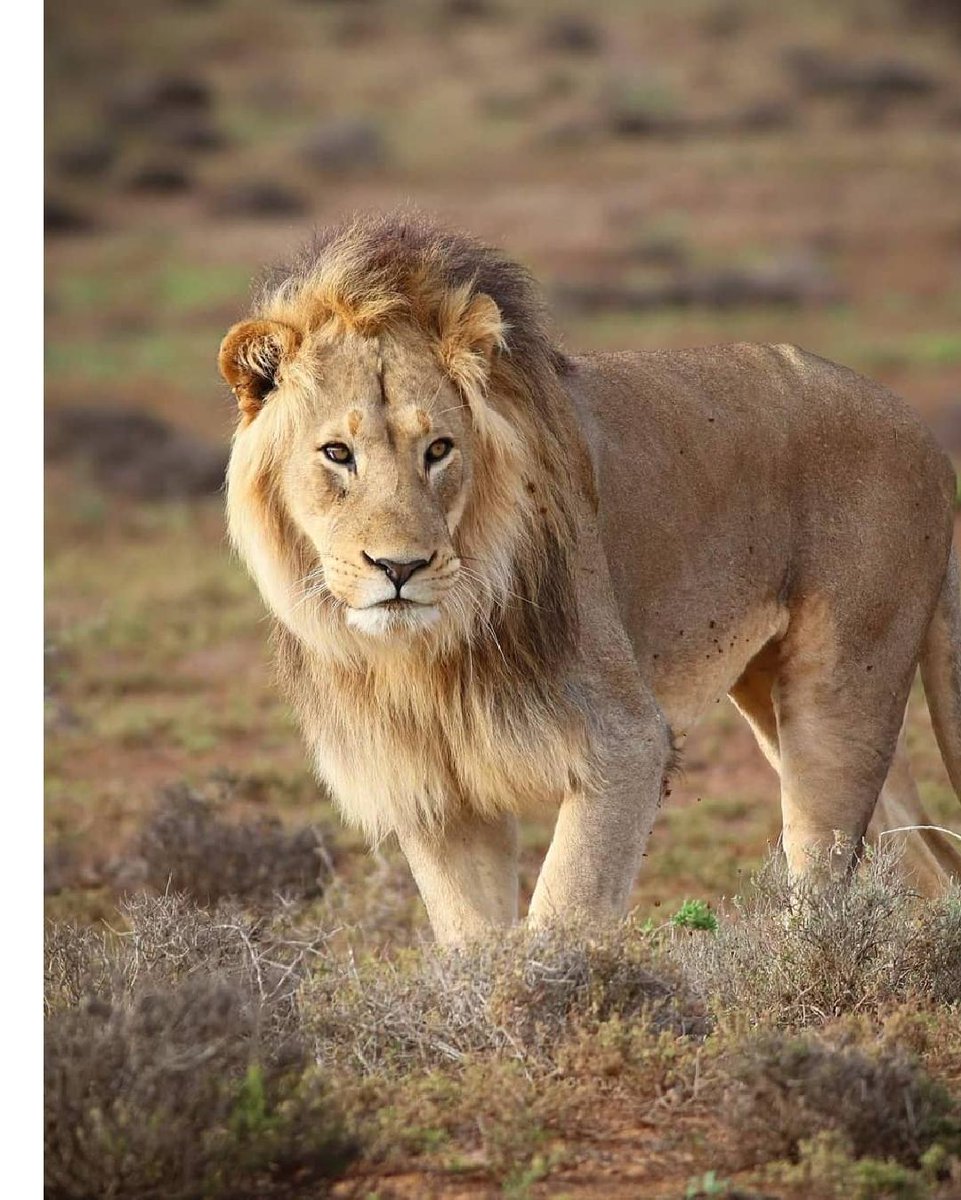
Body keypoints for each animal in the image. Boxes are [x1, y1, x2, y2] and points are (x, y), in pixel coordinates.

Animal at [219, 212, 961, 944]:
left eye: (438, 450)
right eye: (336, 453)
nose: (399, 568)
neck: (423, 657)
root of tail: (922, 429)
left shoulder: (626, 740)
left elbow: (566, 908)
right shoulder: (436, 792)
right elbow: (471, 942)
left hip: (841, 695)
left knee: (826, 877)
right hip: (776, 695)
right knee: (927, 862)